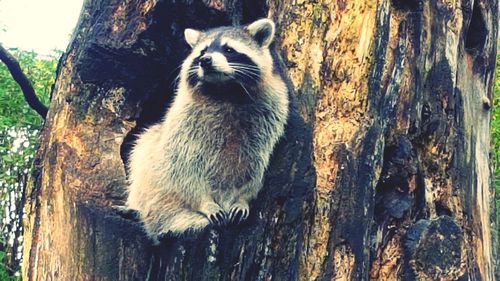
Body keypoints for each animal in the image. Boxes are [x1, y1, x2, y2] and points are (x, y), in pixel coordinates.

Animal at [124, 18, 290, 242]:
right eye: (202, 52)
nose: (206, 60)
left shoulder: (269, 119)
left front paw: (242, 198)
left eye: (228, 49)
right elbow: (182, 169)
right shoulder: (183, 123)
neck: (225, 91)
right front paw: (205, 202)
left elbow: (254, 167)